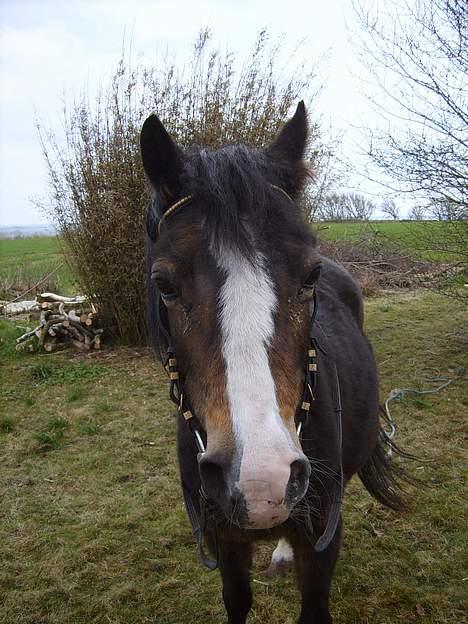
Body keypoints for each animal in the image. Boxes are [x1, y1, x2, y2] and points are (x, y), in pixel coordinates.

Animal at [141, 103, 404, 624]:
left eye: (311, 275)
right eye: (165, 284)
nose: (262, 479)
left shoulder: (321, 542)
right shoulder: (225, 543)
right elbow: (237, 601)